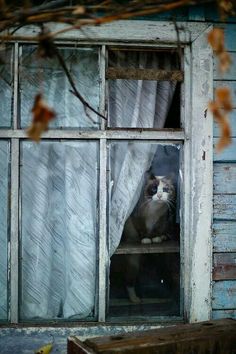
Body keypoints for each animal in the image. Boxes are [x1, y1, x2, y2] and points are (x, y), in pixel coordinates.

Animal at [121, 173, 176, 302]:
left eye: (165, 190)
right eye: (154, 189)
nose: (159, 195)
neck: (154, 210)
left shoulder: (161, 219)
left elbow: (156, 231)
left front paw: (155, 239)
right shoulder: (138, 218)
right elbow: (143, 231)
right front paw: (146, 240)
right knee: (129, 280)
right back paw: (135, 299)